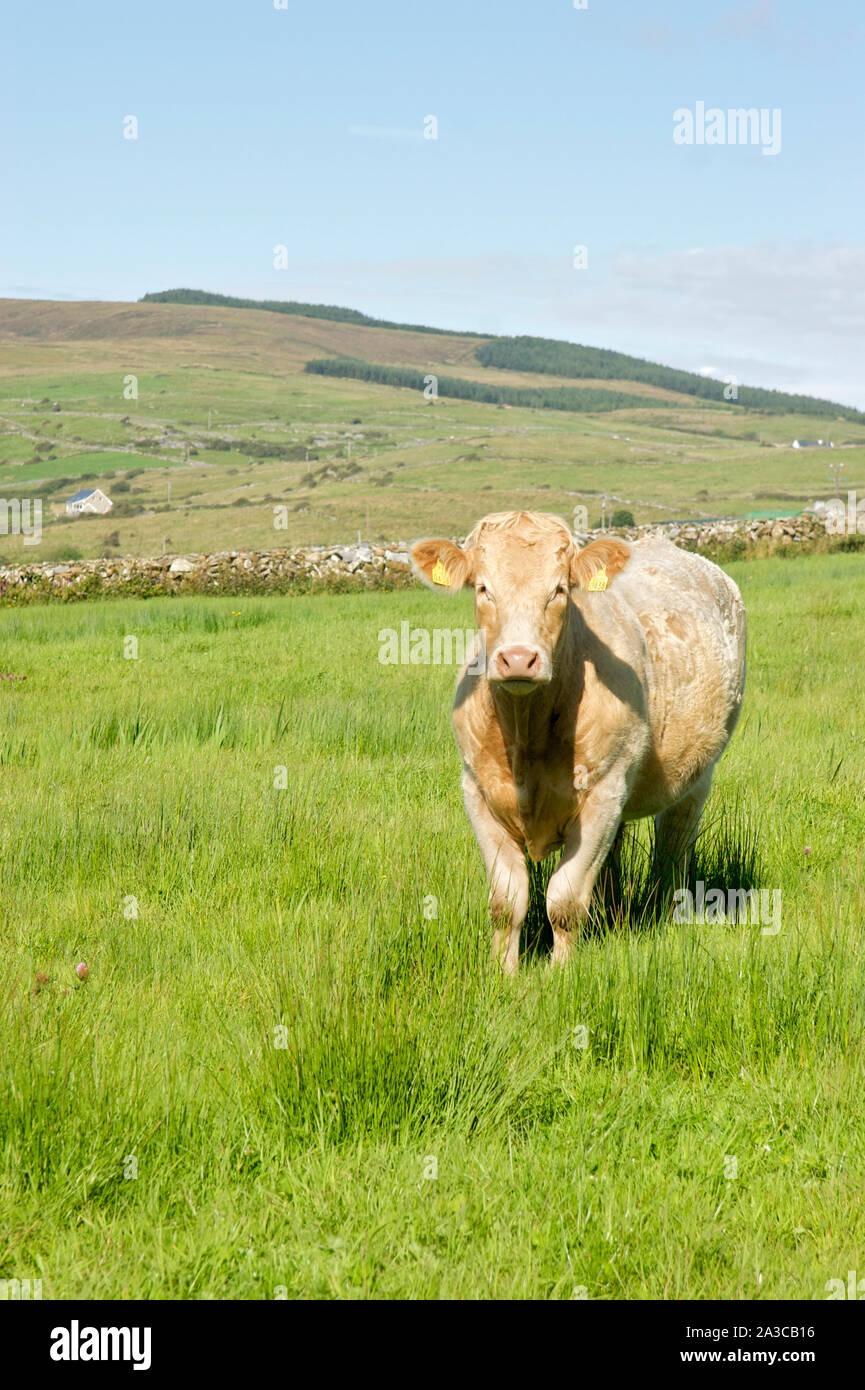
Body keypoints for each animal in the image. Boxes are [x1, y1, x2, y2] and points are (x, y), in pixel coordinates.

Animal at [411, 505, 745, 973]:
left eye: (558, 589)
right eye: (482, 588)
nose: (519, 659)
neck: (526, 733)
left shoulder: (603, 794)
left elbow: (564, 900)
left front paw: (560, 973)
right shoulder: (477, 792)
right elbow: (506, 901)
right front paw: (503, 973)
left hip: (697, 776)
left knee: (673, 849)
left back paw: (665, 915)